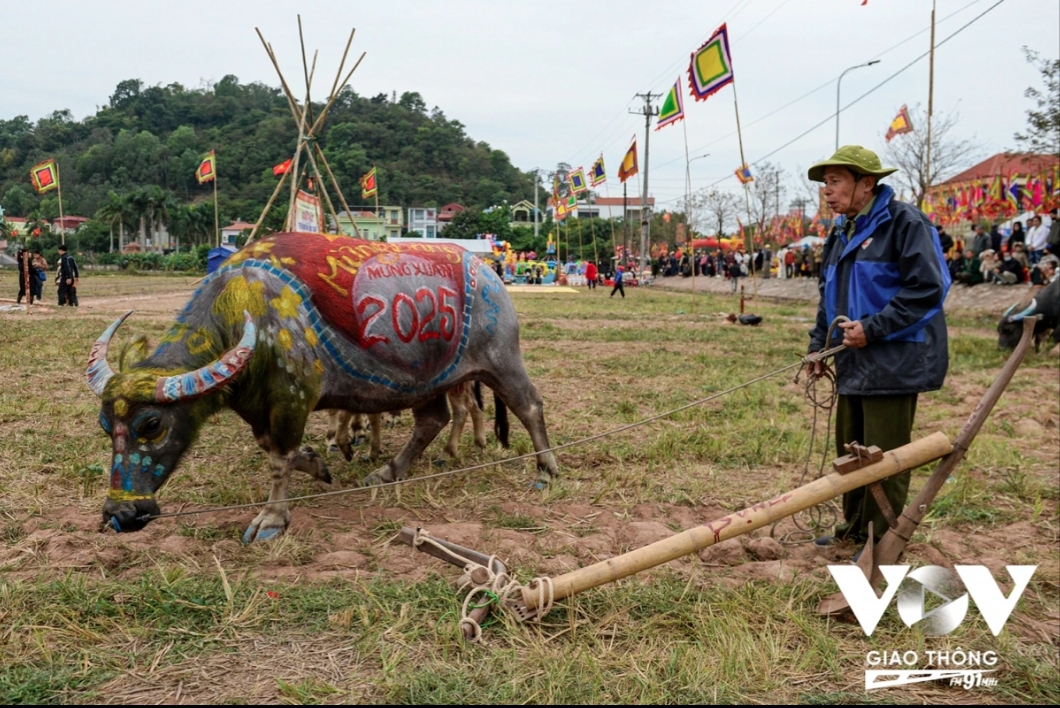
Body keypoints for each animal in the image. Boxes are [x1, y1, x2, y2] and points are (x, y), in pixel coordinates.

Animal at [86, 235, 559, 538]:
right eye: (106, 426)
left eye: (152, 425)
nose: (121, 513)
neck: (248, 313)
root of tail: (490, 274)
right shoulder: (261, 407)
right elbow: (277, 450)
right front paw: (318, 464)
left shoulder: (292, 399)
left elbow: (279, 459)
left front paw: (271, 520)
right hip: (429, 382)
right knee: (433, 419)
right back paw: (387, 472)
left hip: (501, 360)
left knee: (530, 405)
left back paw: (545, 471)